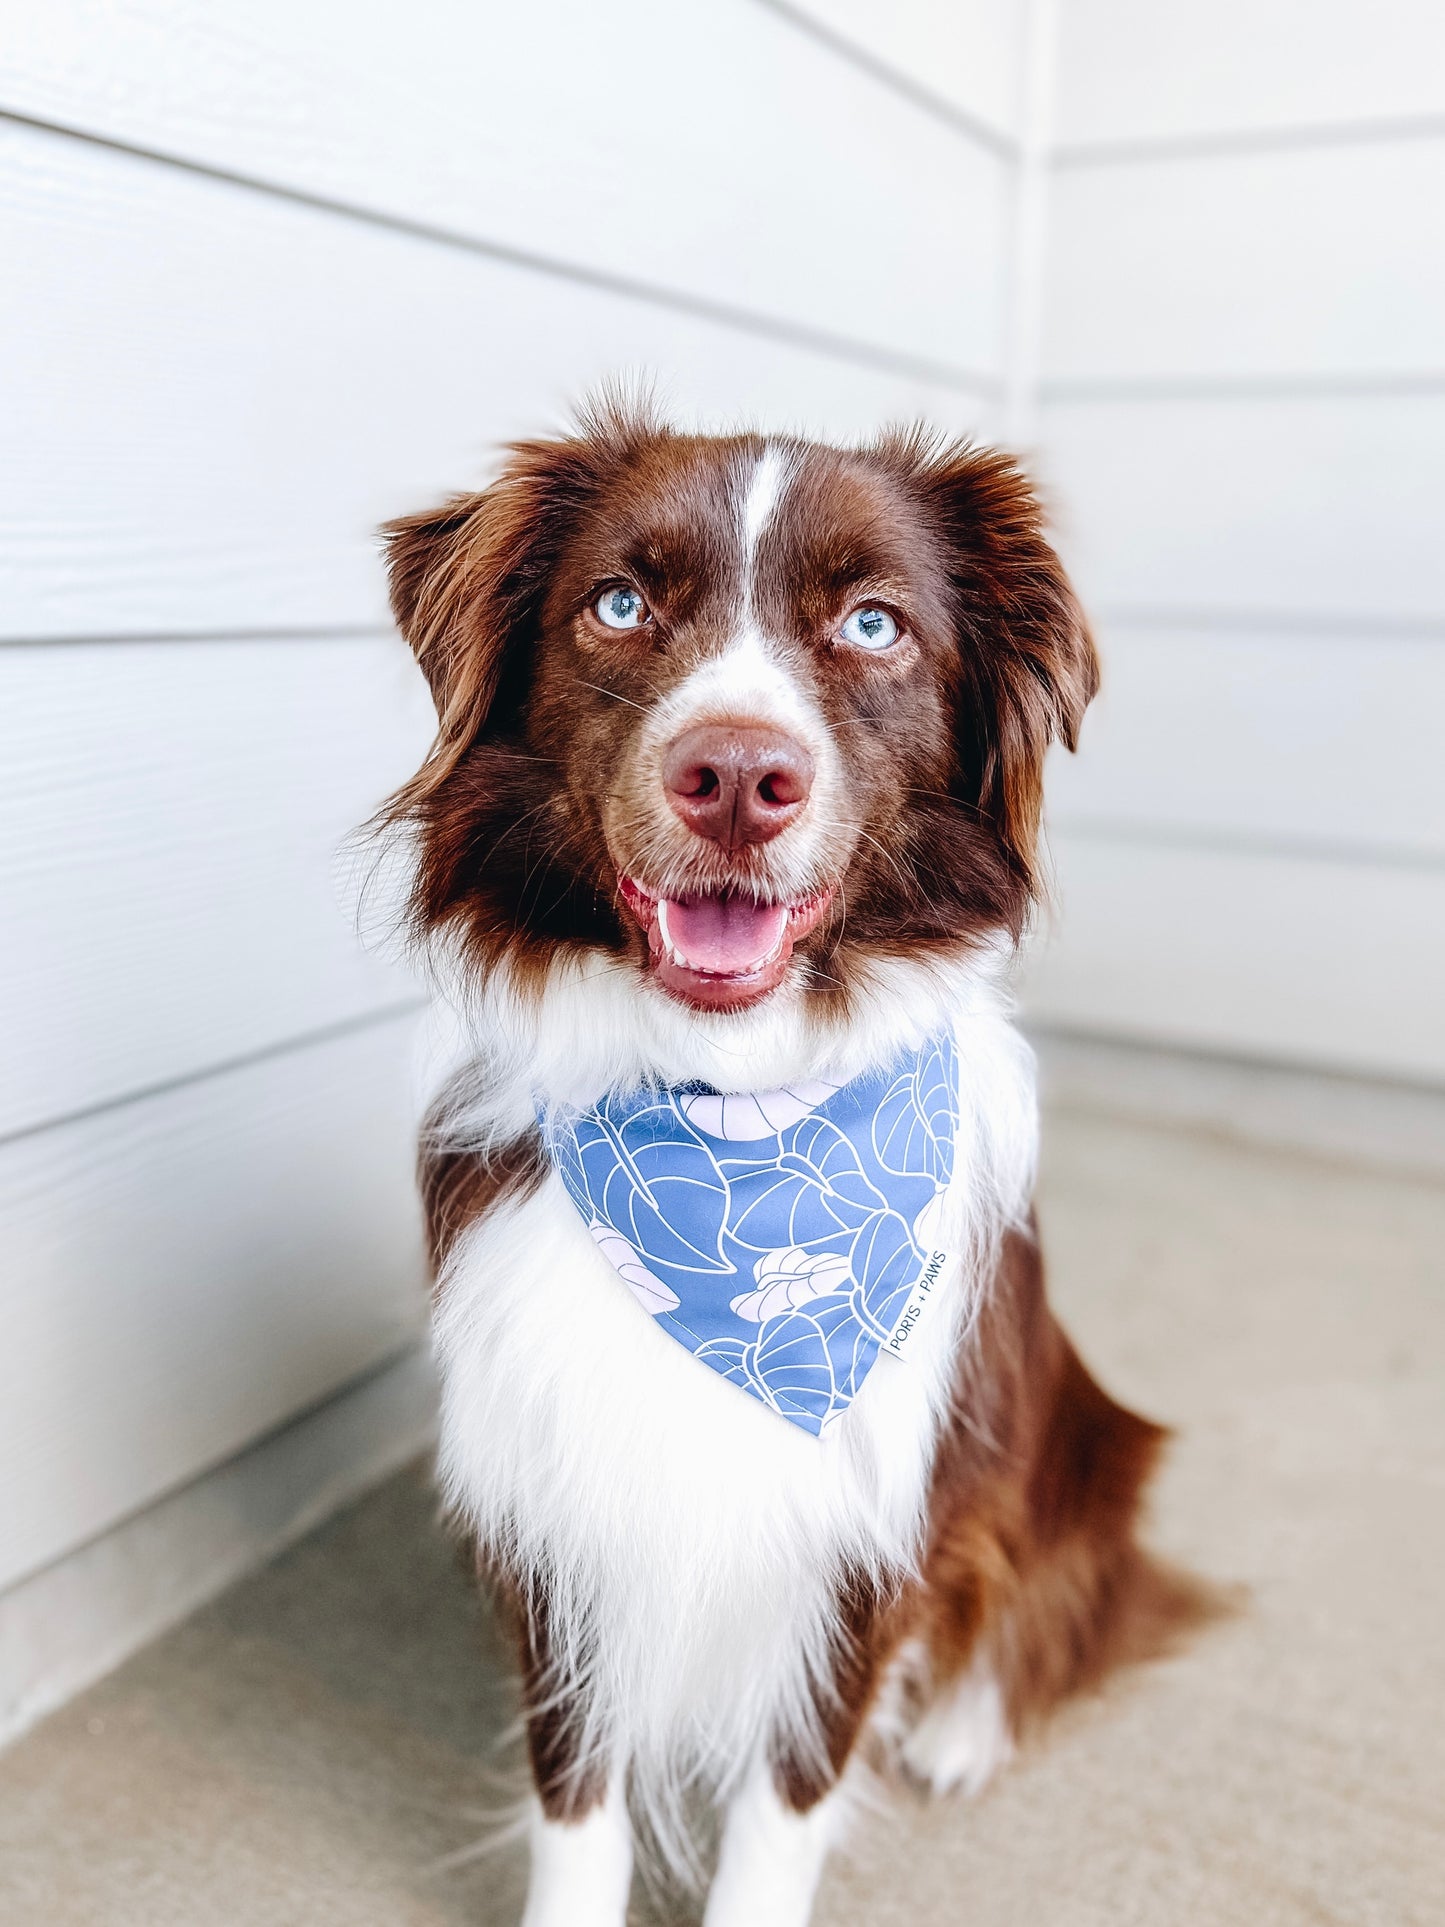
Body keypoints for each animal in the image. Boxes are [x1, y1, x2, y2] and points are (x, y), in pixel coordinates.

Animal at [375, 398, 1209, 1919]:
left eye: (874, 624)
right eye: (620, 604)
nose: (735, 779)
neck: (738, 1125)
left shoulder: (875, 1519)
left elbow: (788, 1794)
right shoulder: (556, 1499)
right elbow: (572, 1791)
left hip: (1078, 1435)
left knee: (1054, 1590)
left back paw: (957, 1728)